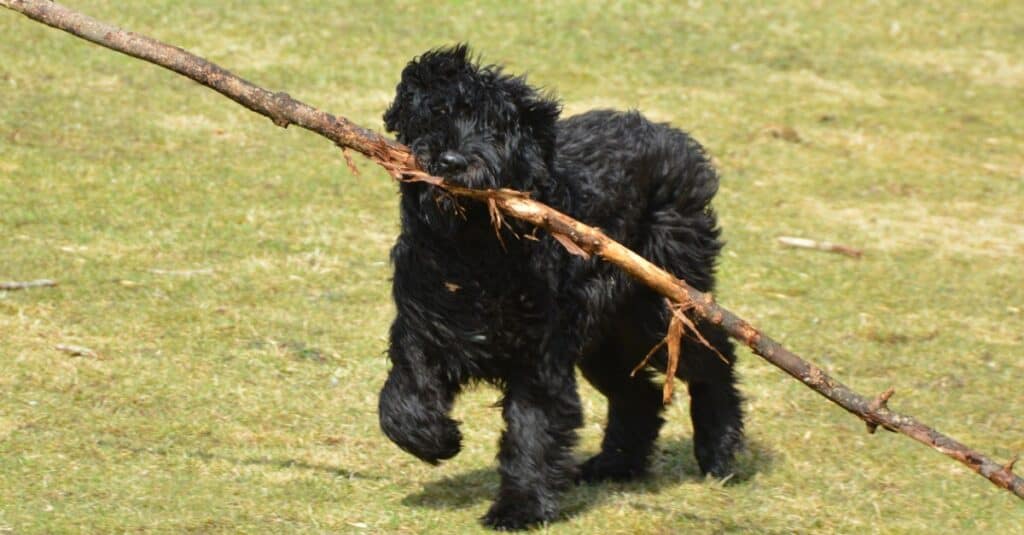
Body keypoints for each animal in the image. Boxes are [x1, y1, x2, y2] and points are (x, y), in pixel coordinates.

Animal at [376, 46, 745, 528]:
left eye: (496, 127)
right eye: (437, 113)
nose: (451, 163)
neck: (474, 252)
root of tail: (674, 140)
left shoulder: (540, 358)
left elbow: (532, 430)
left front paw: (519, 507)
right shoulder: (423, 329)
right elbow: (400, 402)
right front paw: (438, 439)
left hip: (657, 311)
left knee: (714, 359)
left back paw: (720, 452)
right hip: (606, 338)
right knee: (639, 394)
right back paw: (613, 466)